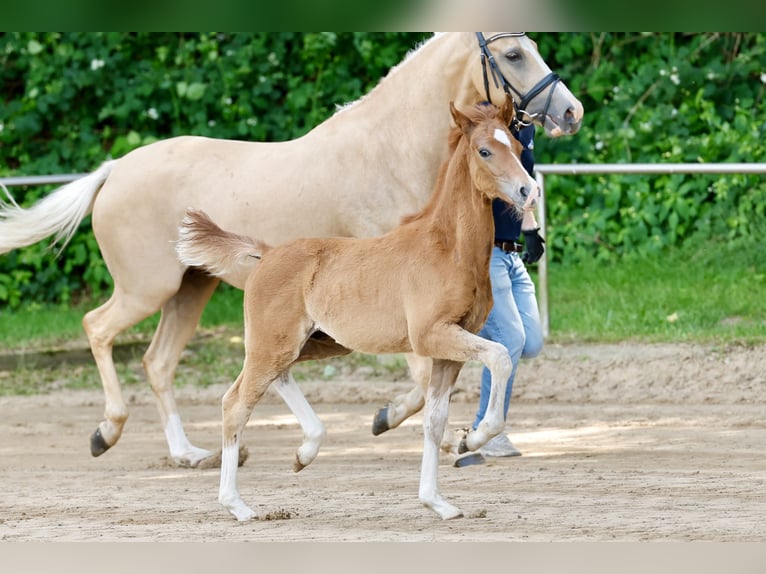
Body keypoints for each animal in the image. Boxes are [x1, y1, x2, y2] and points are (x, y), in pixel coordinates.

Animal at [0, 33, 582, 468]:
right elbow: (422, 378)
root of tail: (115, 169)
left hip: (190, 291)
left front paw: (420, 428)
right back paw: (107, 431)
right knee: (98, 328)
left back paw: (191, 453)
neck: (388, 152)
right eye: (514, 54)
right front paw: (400, 424)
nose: (571, 111)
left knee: (158, 362)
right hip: (147, 288)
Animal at [175, 98, 538, 520]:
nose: (528, 191)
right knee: (236, 403)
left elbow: (434, 420)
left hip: (314, 344)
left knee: (276, 378)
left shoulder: (448, 349)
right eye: (484, 151)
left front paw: (438, 500)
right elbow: (500, 358)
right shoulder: (433, 335)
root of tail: (267, 254)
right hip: (275, 343)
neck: (450, 249)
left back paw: (304, 453)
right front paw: (475, 438)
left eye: (517, 145)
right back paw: (238, 505)